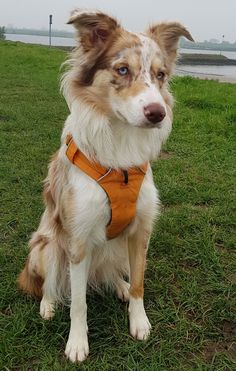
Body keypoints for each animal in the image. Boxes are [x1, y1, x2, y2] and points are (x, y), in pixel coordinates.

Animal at [18, 8, 192, 364]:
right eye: (122, 69)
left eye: (160, 75)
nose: (157, 113)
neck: (121, 154)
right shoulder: (78, 240)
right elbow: (79, 303)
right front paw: (77, 342)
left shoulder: (141, 230)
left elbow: (139, 283)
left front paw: (139, 321)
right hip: (47, 245)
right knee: (50, 283)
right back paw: (48, 304)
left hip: (115, 249)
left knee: (110, 274)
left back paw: (119, 286)